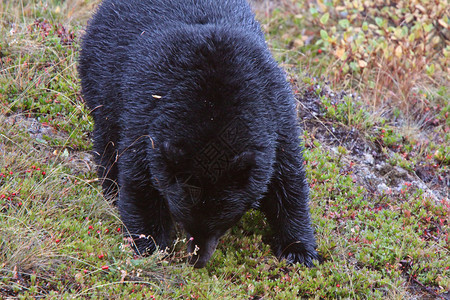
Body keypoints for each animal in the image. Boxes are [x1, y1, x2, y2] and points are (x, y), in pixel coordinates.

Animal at [78, 0, 320, 268]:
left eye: (223, 222)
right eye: (183, 216)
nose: (198, 260)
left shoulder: (275, 116)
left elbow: (288, 182)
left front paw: (298, 250)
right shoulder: (146, 117)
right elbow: (139, 182)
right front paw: (149, 246)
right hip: (102, 77)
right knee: (108, 139)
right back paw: (111, 189)